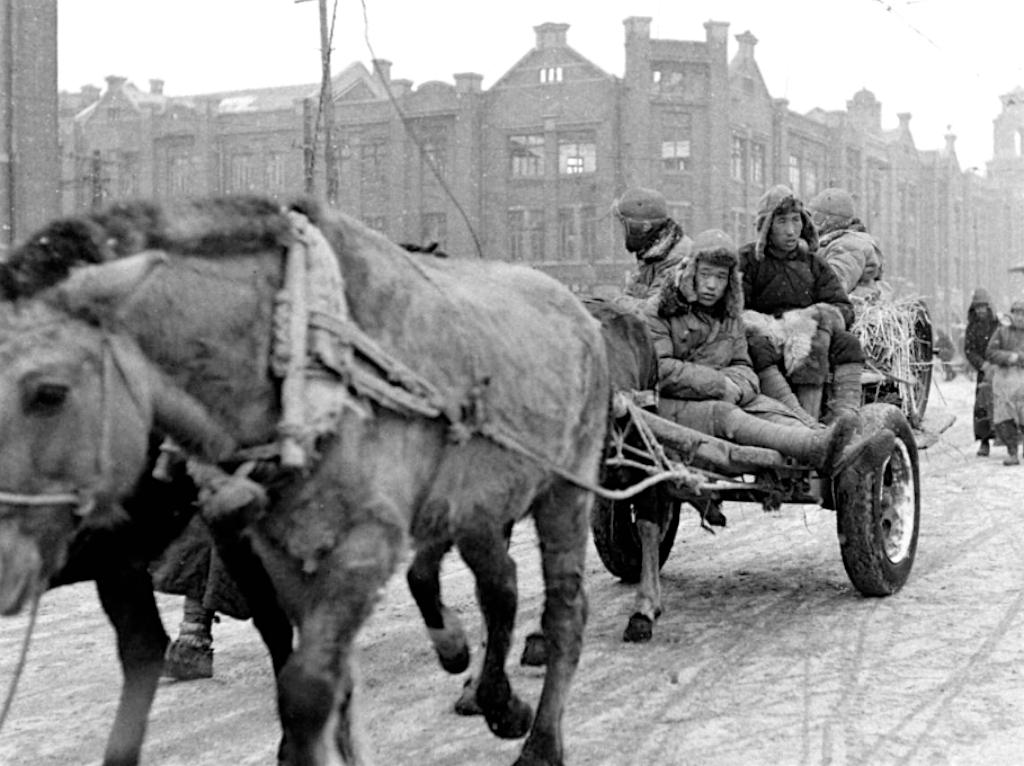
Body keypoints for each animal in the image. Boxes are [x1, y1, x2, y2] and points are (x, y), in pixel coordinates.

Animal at [0, 194, 606, 761]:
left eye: (49, 392)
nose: (5, 569)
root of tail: (581, 312)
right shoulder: (278, 552)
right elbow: (324, 679)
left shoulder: (363, 546)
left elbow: (307, 688)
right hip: (477, 504)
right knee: (499, 586)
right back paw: (492, 695)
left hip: (567, 489)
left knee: (565, 613)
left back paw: (540, 742)